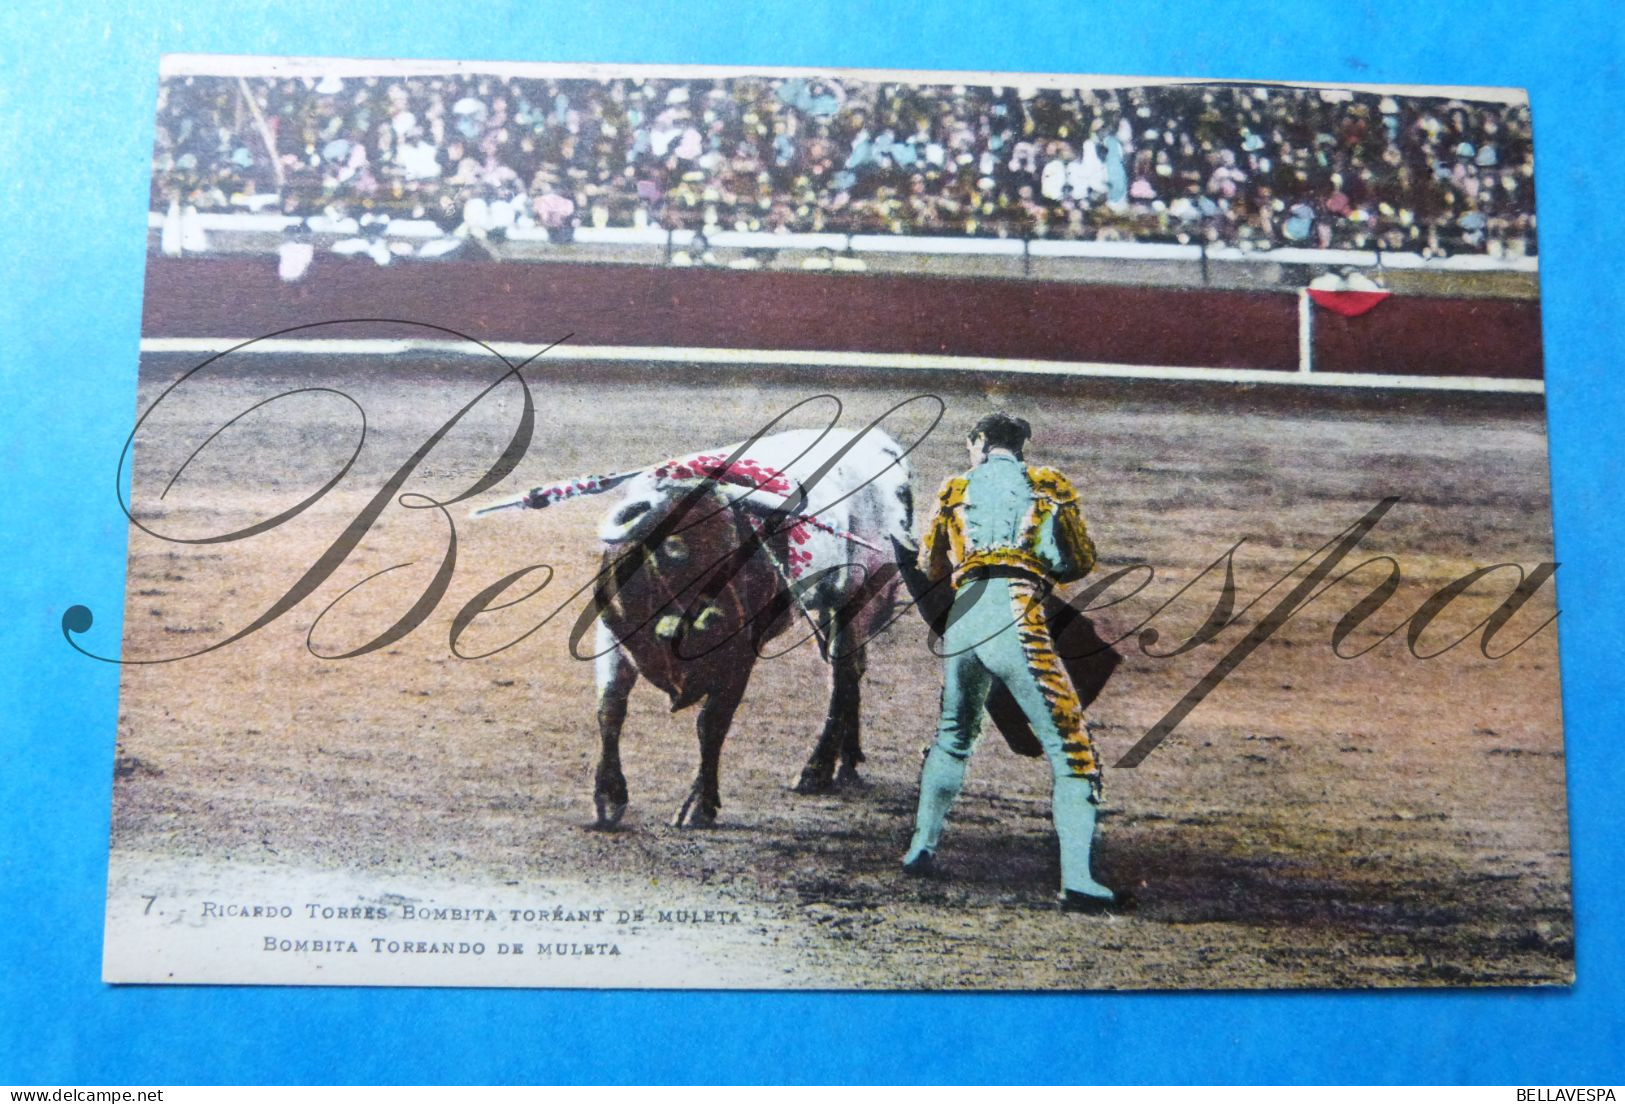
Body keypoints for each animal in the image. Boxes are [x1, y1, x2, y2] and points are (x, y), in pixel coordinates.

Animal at [477, 429, 916, 829]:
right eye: (676, 548)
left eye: (738, 545)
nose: (721, 617)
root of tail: (882, 444)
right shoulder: (612, 639)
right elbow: (610, 709)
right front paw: (609, 798)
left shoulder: (740, 655)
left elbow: (711, 723)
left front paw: (699, 805)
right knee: (851, 671)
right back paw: (846, 764)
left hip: (859, 596)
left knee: (843, 676)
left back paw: (817, 769)